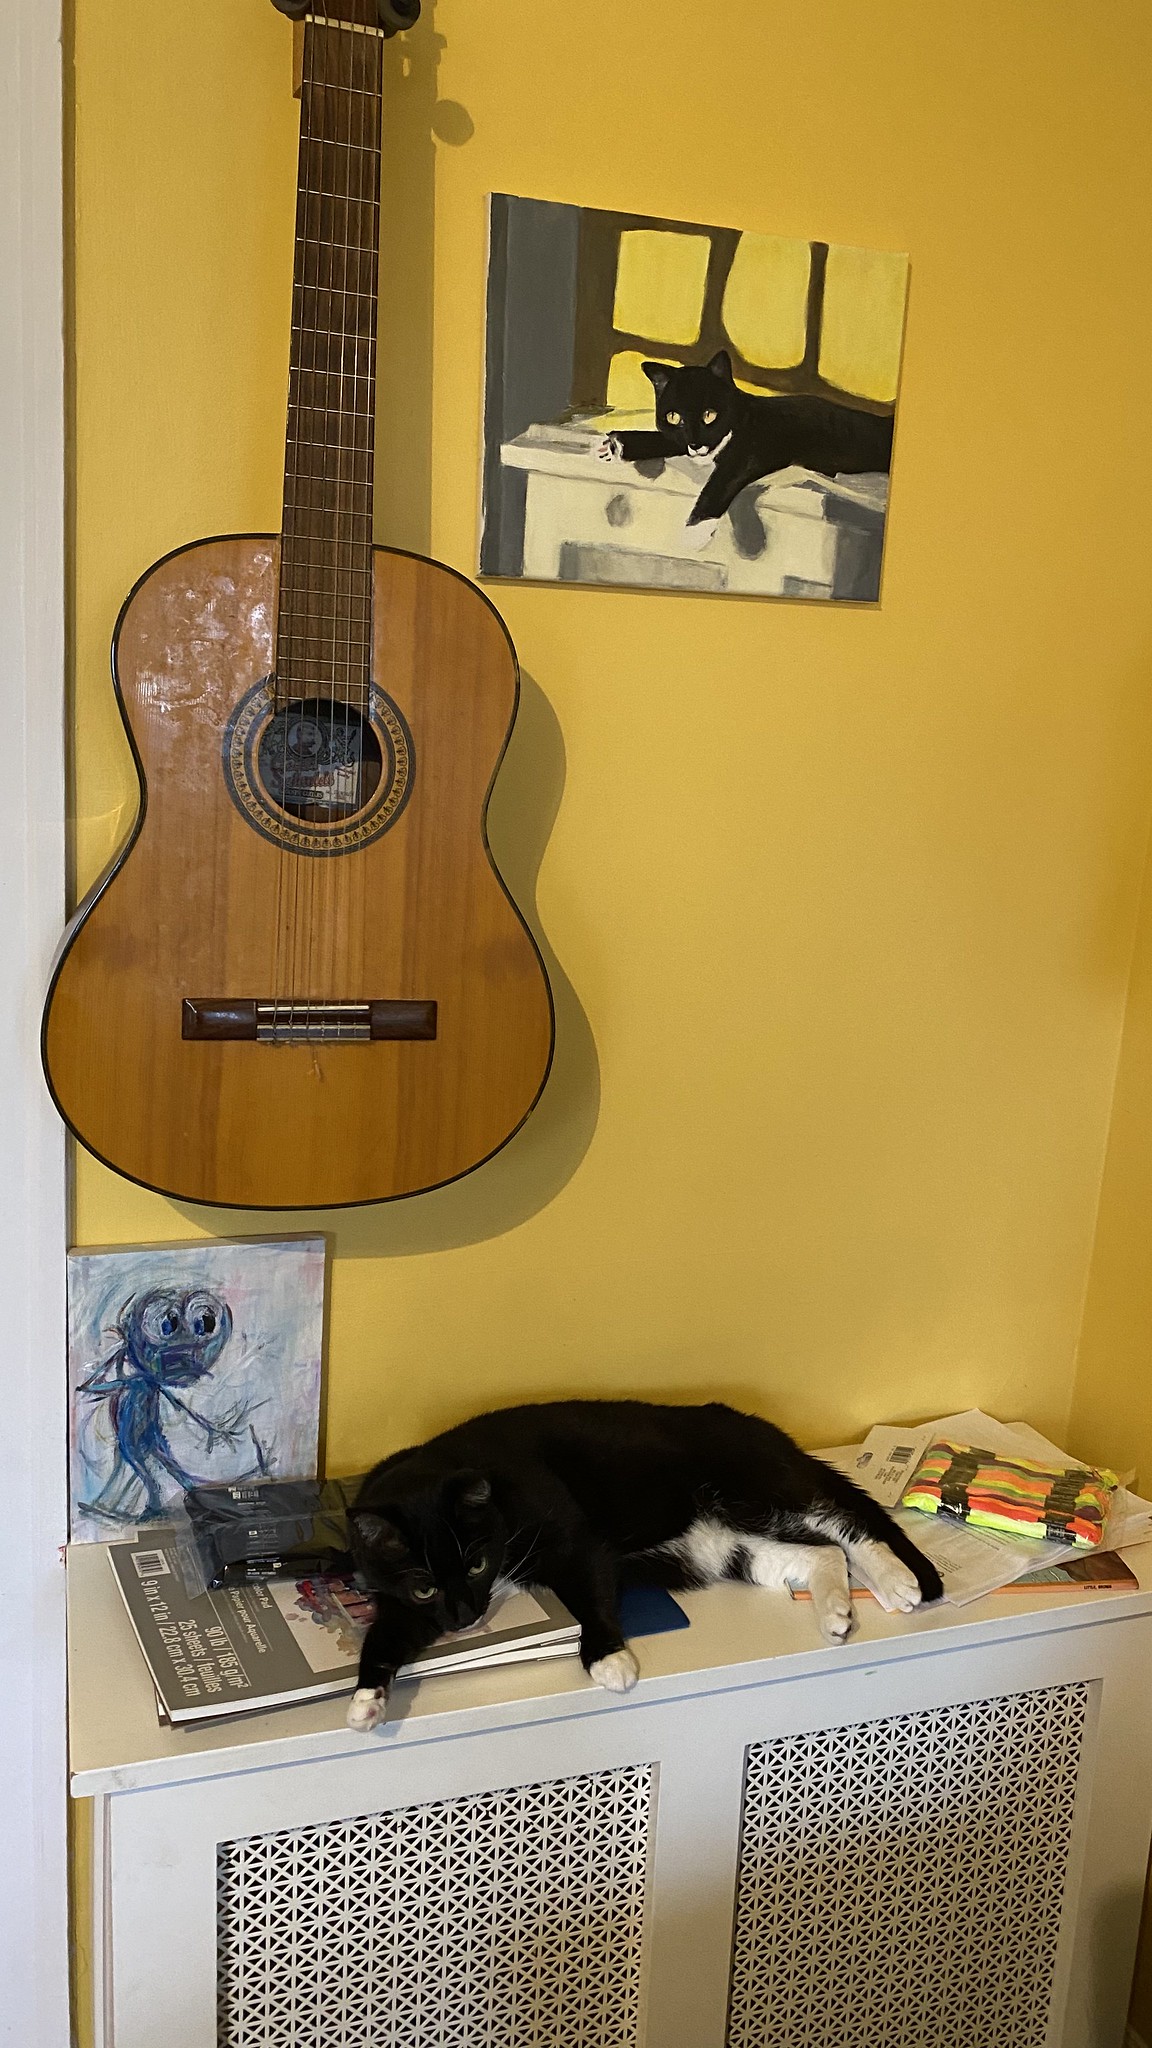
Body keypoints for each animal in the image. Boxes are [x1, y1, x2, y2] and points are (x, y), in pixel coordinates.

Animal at [344, 1392, 938, 1728]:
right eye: (424, 1586)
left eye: (475, 1565)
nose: (465, 1618)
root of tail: (770, 1431)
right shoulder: (404, 1604)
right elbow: (385, 1636)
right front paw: (366, 1701)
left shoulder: (576, 1542)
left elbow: (590, 1594)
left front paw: (610, 1660)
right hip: (723, 1543)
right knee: (822, 1553)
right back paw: (837, 1610)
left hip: (753, 1489)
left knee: (841, 1524)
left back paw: (897, 1582)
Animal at [594, 352, 893, 548]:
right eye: (674, 417)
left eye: (709, 415)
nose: (696, 443)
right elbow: (670, 439)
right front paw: (615, 445)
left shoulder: (752, 452)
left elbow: (720, 480)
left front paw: (695, 530)